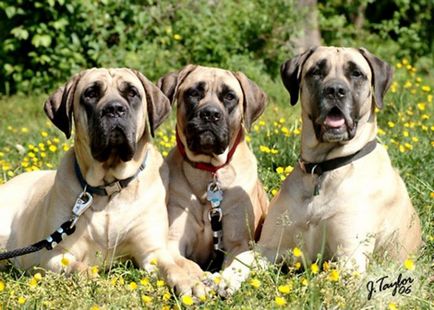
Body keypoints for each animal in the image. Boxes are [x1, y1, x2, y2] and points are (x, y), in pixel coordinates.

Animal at [0, 68, 205, 296]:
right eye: (91, 93)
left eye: (132, 93)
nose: (114, 109)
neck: (110, 188)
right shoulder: (55, 255)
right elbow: (81, 269)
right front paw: (101, 282)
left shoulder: (151, 251)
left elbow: (171, 267)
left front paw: (189, 283)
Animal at [220, 46, 420, 294]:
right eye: (316, 71)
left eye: (356, 73)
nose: (335, 90)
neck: (323, 169)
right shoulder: (270, 246)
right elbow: (244, 258)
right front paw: (222, 279)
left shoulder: (350, 260)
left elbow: (319, 279)